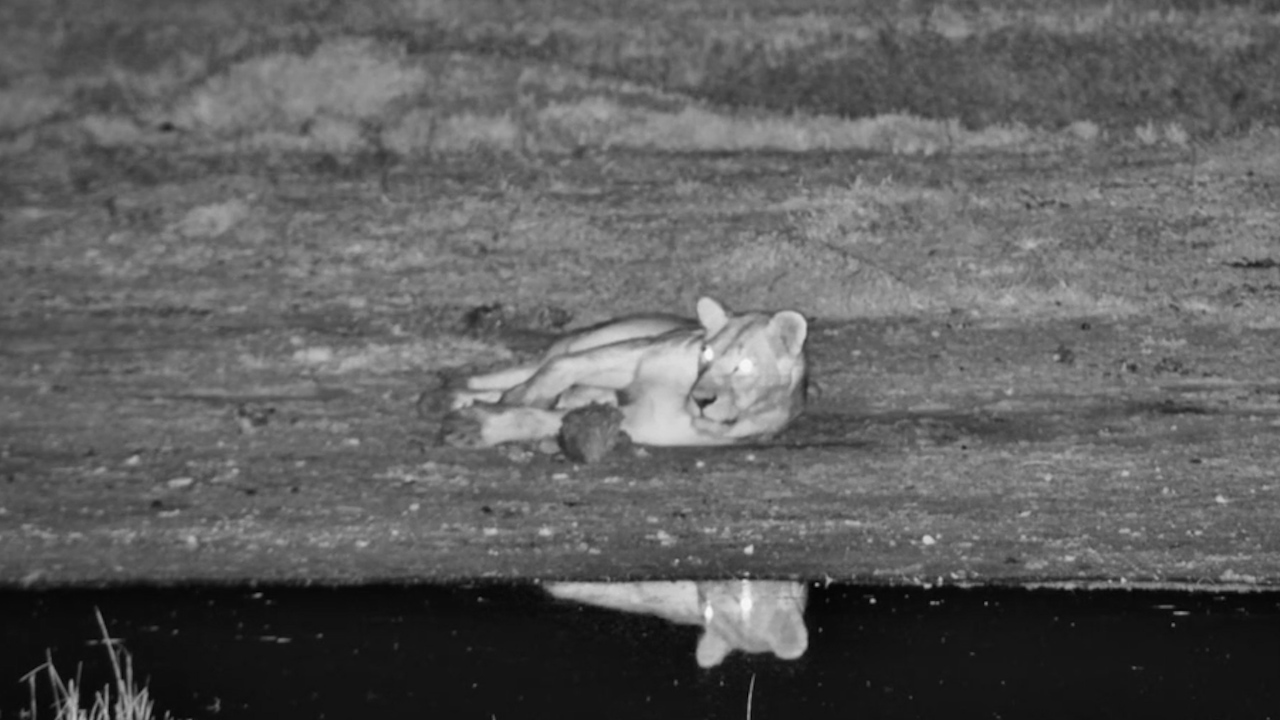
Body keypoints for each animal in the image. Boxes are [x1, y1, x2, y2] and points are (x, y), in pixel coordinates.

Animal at [441, 296, 808, 449]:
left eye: (744, 366)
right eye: (707, 353)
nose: (701, 399)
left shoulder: (643, 422)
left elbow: (542, 418)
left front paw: (475, 426)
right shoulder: (641, 352)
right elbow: (561, 368)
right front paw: (524, 396)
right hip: (605, 336)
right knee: (546, 361)